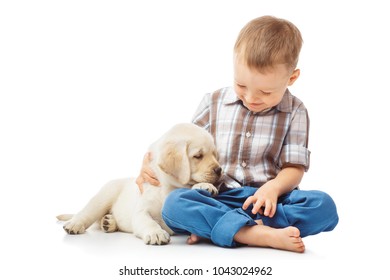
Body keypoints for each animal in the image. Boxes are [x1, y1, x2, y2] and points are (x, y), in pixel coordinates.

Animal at [58, 123, 222, 244]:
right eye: (198, 156)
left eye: (215, 154)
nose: (219, 170)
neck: (168, 187)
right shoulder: (142, 211)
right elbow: (148, 222)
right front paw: (156, 233)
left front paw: (204, 186)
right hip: (105, 195)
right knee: (87, 212)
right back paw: (75, 224)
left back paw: (109, 222)